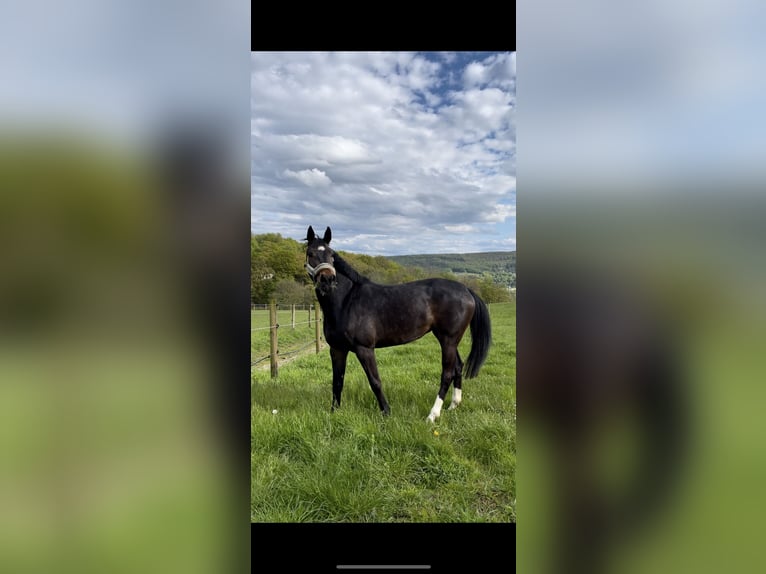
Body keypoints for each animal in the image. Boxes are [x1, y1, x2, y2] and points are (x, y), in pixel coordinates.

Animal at [304, 225, 492, 421]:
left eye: (331, 255)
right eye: (310, 253)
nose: (327, 280)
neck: (346, 301)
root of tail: (466, 290)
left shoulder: (365, 349)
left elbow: (375, 381)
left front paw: (386, 412)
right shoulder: (337, 349)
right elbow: (337, 381)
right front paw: (334, 412)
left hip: (449, 340)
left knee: (447, 373)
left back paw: (432, 415)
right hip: (447, 339)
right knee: (458, 367)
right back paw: (453, 405)